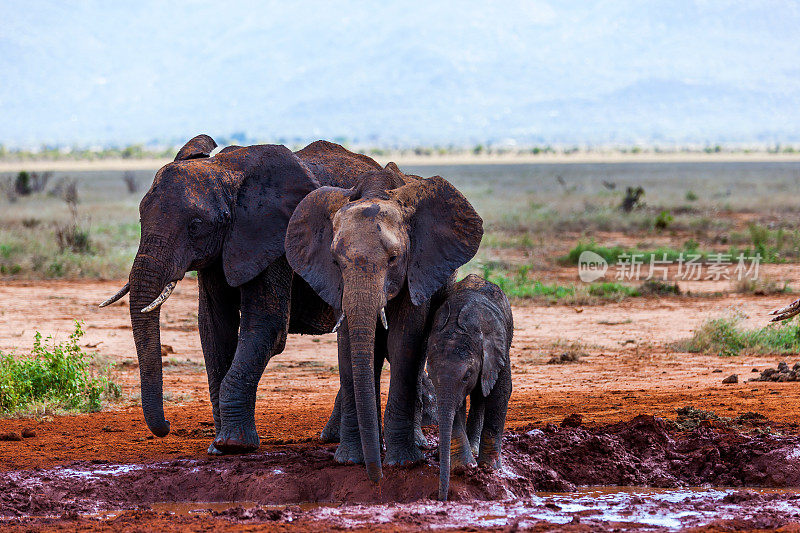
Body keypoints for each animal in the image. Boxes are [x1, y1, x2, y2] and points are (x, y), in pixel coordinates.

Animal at [101, 134, 384, 454]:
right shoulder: (220, 251)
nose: (167, 426)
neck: (224, 173)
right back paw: (334, 436)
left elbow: (265, 326)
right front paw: (217, 447)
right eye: (140, 218)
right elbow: (213, 327)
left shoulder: (274, 238)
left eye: (195, 226)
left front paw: (233, 445)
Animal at [284, 167, 482, 482]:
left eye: (393, 259)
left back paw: (415, 444)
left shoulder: (418, 268)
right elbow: (349, 346)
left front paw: (402, 463)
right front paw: (350, 460)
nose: (374, 478)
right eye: (335, 262)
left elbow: (404, 342)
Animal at [428, 272, 516, 500]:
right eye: (430, 375)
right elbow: (455, 405)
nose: (442, 498)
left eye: (467, 375)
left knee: (481, 396)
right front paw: (464, 467)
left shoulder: (498, 348)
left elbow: (501, 393)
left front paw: (490, 469)